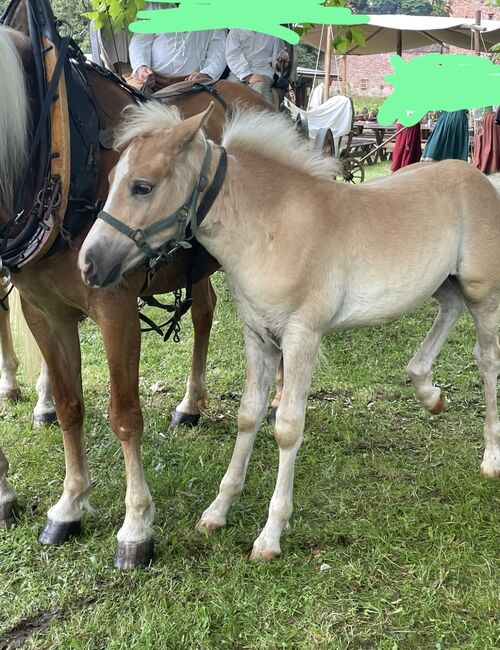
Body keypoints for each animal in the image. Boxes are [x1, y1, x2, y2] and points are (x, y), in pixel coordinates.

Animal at [0, 24, 272, 568]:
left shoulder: (115, 308)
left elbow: (124, 416)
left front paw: (136, 527)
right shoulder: (43, 311)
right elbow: (70, 406)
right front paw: (70, 505)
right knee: (204, 313)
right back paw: (190, 404)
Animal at [79, 105, 500, 556]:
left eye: (142, 186)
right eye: (111, 180)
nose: (88, 264)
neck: (273, 228)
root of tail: (477, 178)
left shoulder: (301, 338)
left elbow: (286, 428)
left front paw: (270, 535)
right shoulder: (259, 337)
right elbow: (248, 416)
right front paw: (217, 512)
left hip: (482, 293)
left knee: (487, 361)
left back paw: (491, 458)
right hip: (444, 282)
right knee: (449, 310)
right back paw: (430, 394)